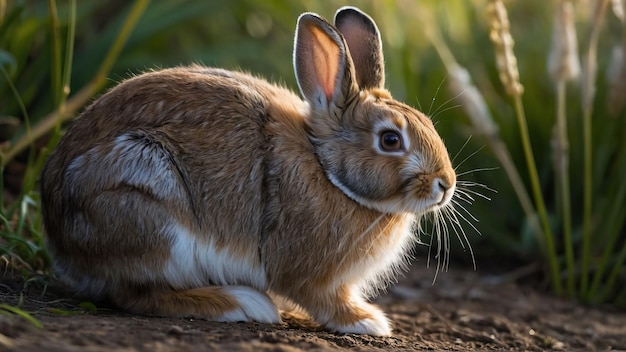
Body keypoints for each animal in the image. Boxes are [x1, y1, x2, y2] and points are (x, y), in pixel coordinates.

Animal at [41, 5, 456, 336]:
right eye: (390, 139)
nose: (445, 185)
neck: (328, 171)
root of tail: (60, 243)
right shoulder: (310, 273)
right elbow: (325, 299)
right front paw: (368, 321)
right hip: (149, 207)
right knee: (137, 294)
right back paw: (242, 303)